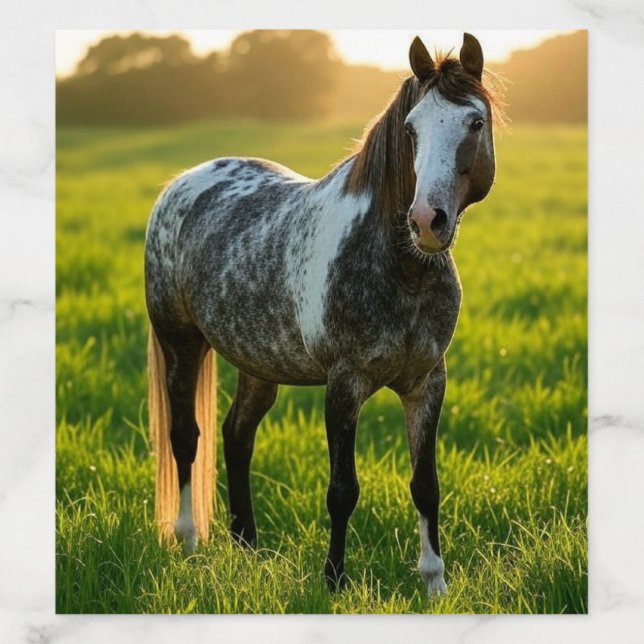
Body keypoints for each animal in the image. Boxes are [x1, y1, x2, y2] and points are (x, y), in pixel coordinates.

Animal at [145, 33, 498, 596]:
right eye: (411, 129)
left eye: (475, 123)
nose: (427, 221)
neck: (401, 269)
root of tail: (181, 184)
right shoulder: (343, 383)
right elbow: (342, 489)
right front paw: (333, 580)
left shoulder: (427, 382)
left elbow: (426, 484)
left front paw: (434, 582)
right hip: (181, 345)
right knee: (186, 436)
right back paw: (188, 541)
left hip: (257, 364)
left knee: (236, 435)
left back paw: (248, 545)